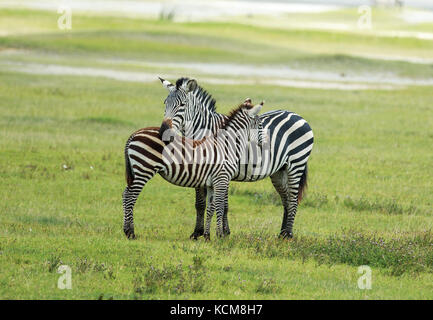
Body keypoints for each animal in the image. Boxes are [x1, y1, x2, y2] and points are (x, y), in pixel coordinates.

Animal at [122, 101, 264, 239]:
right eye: (260, 125)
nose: (264, 142)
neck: (227, 146)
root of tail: (135, 134)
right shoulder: (222, 179)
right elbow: (220, 206)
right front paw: (220, 235)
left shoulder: (212, 183)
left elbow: (211, 207)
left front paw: (207, 236)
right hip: (144, 169)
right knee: (130, 196)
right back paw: (131, 233)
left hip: (137, 171)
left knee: (125, 194)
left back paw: (126, 230)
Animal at [159, 76, 314, 239]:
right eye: (165, 103)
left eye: (182, 105)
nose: (163, 131)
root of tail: (297, 115)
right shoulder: (201, 171)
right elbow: (200, 204)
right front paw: (197, 233)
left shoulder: (221, 172)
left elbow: (222, 204)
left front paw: (223, 232)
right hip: (279, 171)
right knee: (286, 200)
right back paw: (282, 234)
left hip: (296, 164)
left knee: (293, 200)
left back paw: (288, 234)